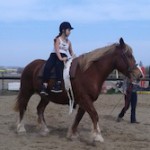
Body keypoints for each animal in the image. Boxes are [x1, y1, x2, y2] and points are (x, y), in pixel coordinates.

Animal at [14, 37, 142, 142]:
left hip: (46, 96)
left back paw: (45, 129)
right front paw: (97, 136)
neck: (89, 72)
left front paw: (72, 134)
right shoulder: (85, 99)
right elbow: (94, 115)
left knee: (40, 109)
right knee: (23, 107)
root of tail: (30, 65)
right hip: (26, 92)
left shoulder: (84, 101)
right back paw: (21, 129)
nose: (139, 75)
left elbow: (79, 117)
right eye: (128, 55)